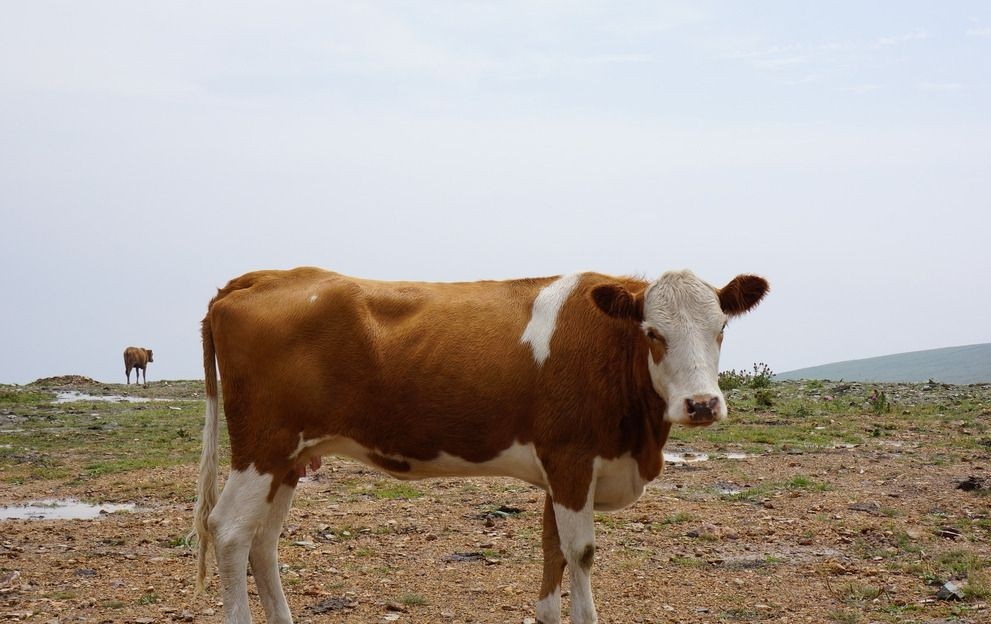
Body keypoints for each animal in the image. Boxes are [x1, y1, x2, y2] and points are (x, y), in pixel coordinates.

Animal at [194, 268, 768, 624]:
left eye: (720, 328)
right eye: (652, 332)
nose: (701, 404)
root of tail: (262, 276)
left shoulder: (558, 469)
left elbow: (552, 552)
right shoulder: (571, 458)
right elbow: (580, 554)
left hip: (288, 458)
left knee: (264, 541)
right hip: (261, 447)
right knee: (229, 531)